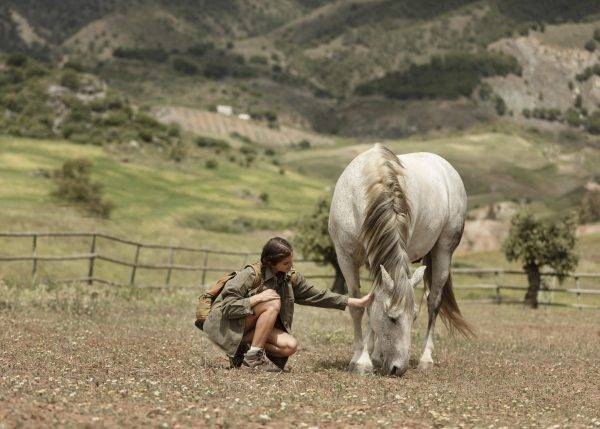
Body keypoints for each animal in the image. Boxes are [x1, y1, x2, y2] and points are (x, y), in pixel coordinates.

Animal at [330, 143, 472, 374]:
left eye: (413, 317)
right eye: (393, 318)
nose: (399, 368)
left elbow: (371, 306)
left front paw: (364, 360)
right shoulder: (345, 256)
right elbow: (359, 306)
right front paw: (361, 358)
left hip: (444, 250)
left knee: (434, 302)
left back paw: (425, 359)